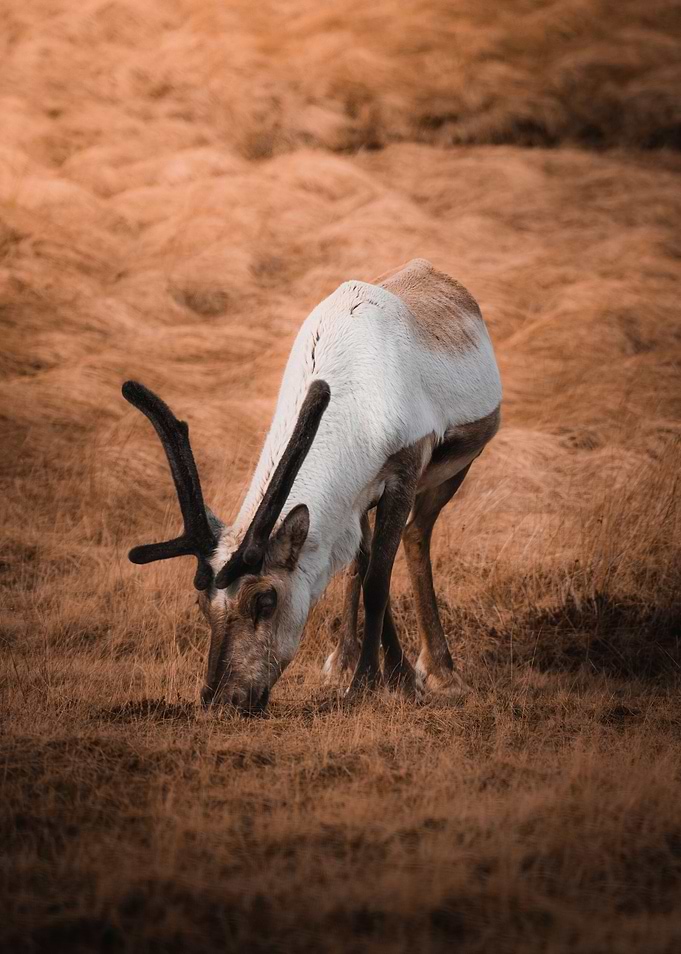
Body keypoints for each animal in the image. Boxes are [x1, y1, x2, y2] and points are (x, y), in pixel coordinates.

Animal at [122, 258, 501, 714]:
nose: (221, 699)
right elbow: (367, 569)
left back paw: (441, 673)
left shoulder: (404, 472)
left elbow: (378, 582)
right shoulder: (354, 496)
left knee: (416, 535)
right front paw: (375, 673)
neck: (357, 404)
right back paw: (349, 661)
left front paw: (375, 684)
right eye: (201, 603)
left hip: (455, 467)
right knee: (366, 558)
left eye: (265, 600)